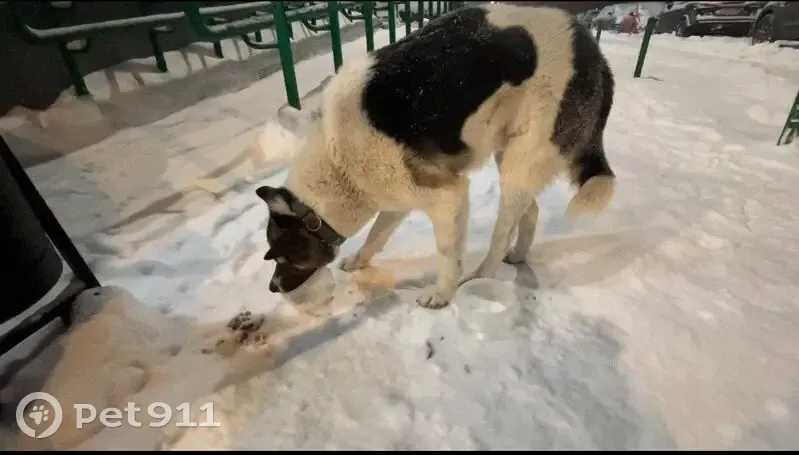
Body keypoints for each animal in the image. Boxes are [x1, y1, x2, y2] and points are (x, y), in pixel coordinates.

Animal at [256, 3, 616, 309]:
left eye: (282, 257)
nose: (272, 288)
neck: (337, 162)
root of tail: (593, 50)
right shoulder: (398, 197)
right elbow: (376, 235)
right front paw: (359, 261)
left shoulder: (447, 197)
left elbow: (447, 254)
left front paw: (442, 294)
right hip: (512, 158)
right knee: (529, 212)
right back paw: (517, 255)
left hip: (522, 161)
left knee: (503, 231)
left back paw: (482, 273)